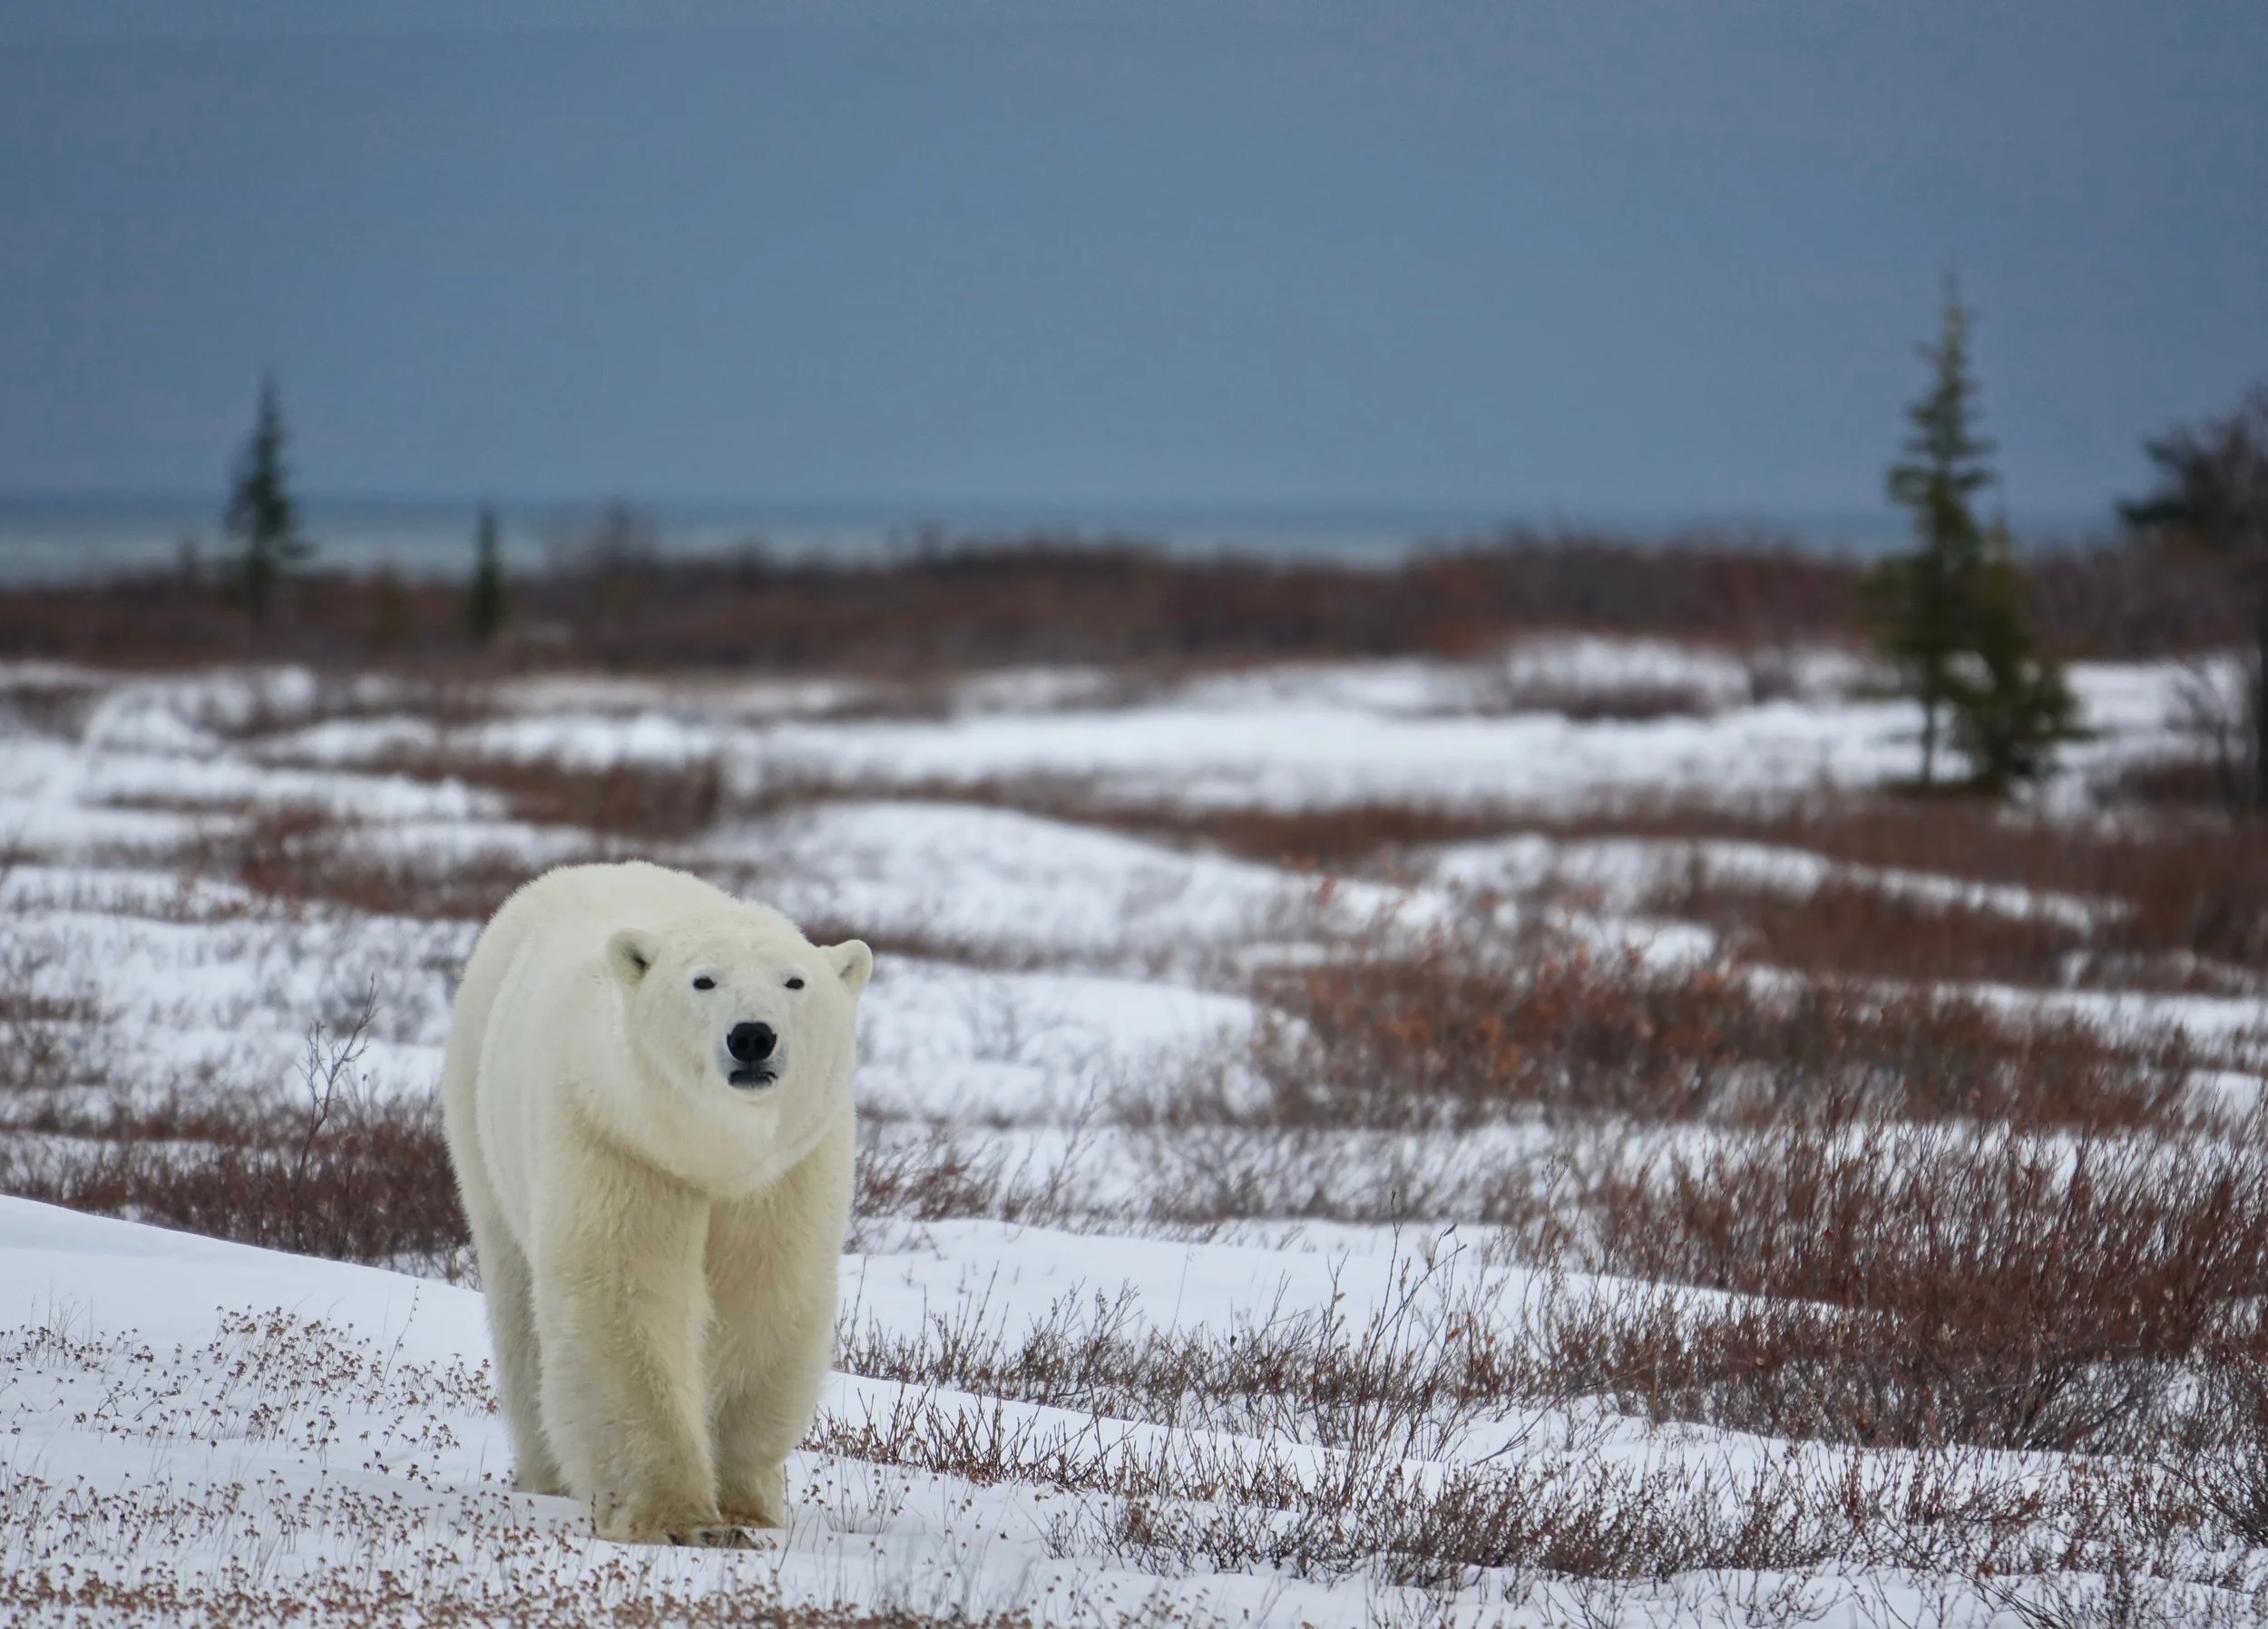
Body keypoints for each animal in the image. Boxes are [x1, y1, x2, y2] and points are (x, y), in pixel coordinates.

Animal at [439, 859, 872, 1547]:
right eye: (704, 980)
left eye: (795, 980)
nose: (753, 1036)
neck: (709, 1148)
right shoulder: (616, 1136)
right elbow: (624, 1295)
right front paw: (680, 1518)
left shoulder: (788, 1171)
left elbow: (765, 1298)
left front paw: (745, 1504)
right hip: (481, 1117)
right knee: (518, 1303)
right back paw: (546, 1475)